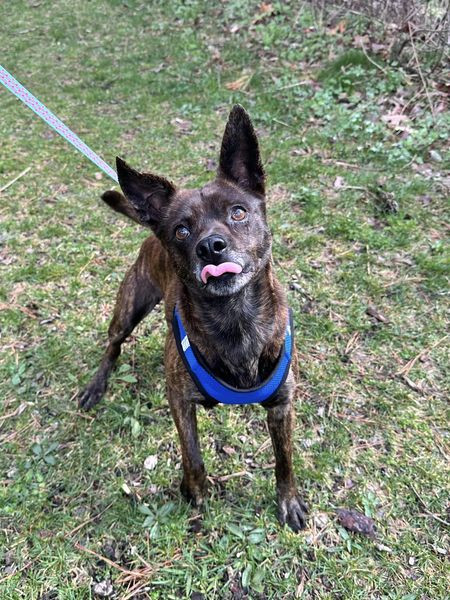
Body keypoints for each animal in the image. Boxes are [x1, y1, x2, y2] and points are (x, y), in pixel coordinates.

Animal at [79, 105, 308, 532]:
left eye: (238, 212)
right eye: (182, 230)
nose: (211, 246)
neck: (235, 319)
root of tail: (147, 227)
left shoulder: (283, 405)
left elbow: (284, 460)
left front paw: (288, 501)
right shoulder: (180, 402)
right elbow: (193, 455)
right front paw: (196, 492)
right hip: (129, 307)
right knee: (113, 345)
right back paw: (96, 385)